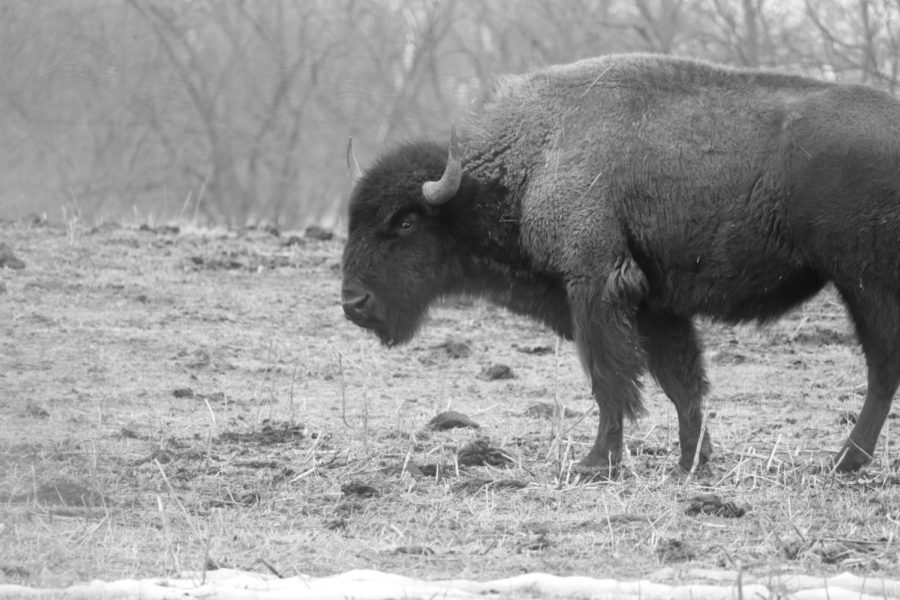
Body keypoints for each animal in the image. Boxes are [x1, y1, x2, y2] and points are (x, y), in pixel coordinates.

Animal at [340, 54, 900, 476]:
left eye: (405, 222)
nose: (353, 302)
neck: (533, 158)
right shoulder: (657, 306)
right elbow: (681, 383)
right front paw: (692, 463)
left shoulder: (595, 285)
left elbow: (611, 379)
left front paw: (596, 463)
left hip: (865, 284)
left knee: (882, 366)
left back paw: (842, 462)